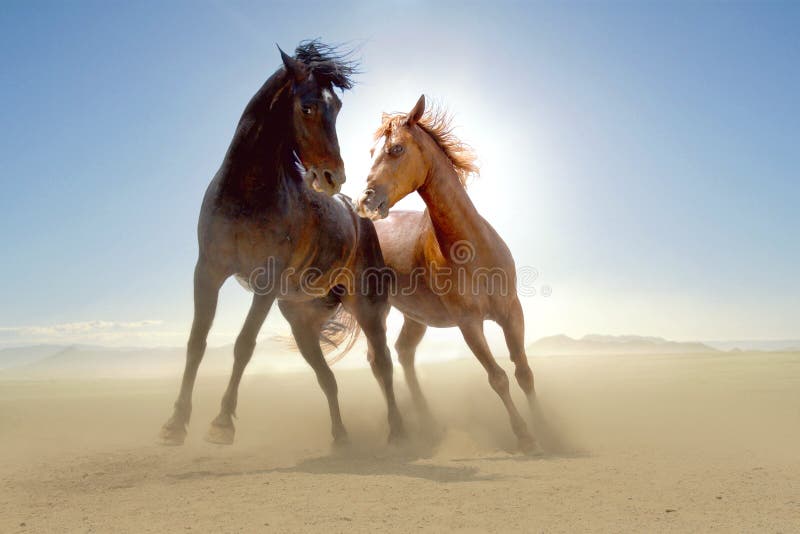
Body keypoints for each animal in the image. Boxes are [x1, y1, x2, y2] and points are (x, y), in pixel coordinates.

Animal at [161, 43, 406, 448]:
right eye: (306, 107)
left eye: (337, 107)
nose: (334, 176)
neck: (245, 193)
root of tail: (360, 219)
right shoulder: (208, 271)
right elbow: (197, 342)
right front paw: (175, 423)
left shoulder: (266, 281)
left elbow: (244, 344)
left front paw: (222, 423)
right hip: (300, 321)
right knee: (327, 378)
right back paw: (341, 437)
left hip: (368, 309)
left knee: (382, 365)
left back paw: (400, 432)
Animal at [358, 95, 536, 452]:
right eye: (372, 152)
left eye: (396, 148)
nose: (367, 200)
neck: (472, 249)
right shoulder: (469, 323)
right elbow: (498, 378)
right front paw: (525, 435)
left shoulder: (511, 311)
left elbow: (523, 372)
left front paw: (550, 428)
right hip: (371, 311)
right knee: (379, 361)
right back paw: (398, 431)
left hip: (415, 317)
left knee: (403, 352)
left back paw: (429, 423)